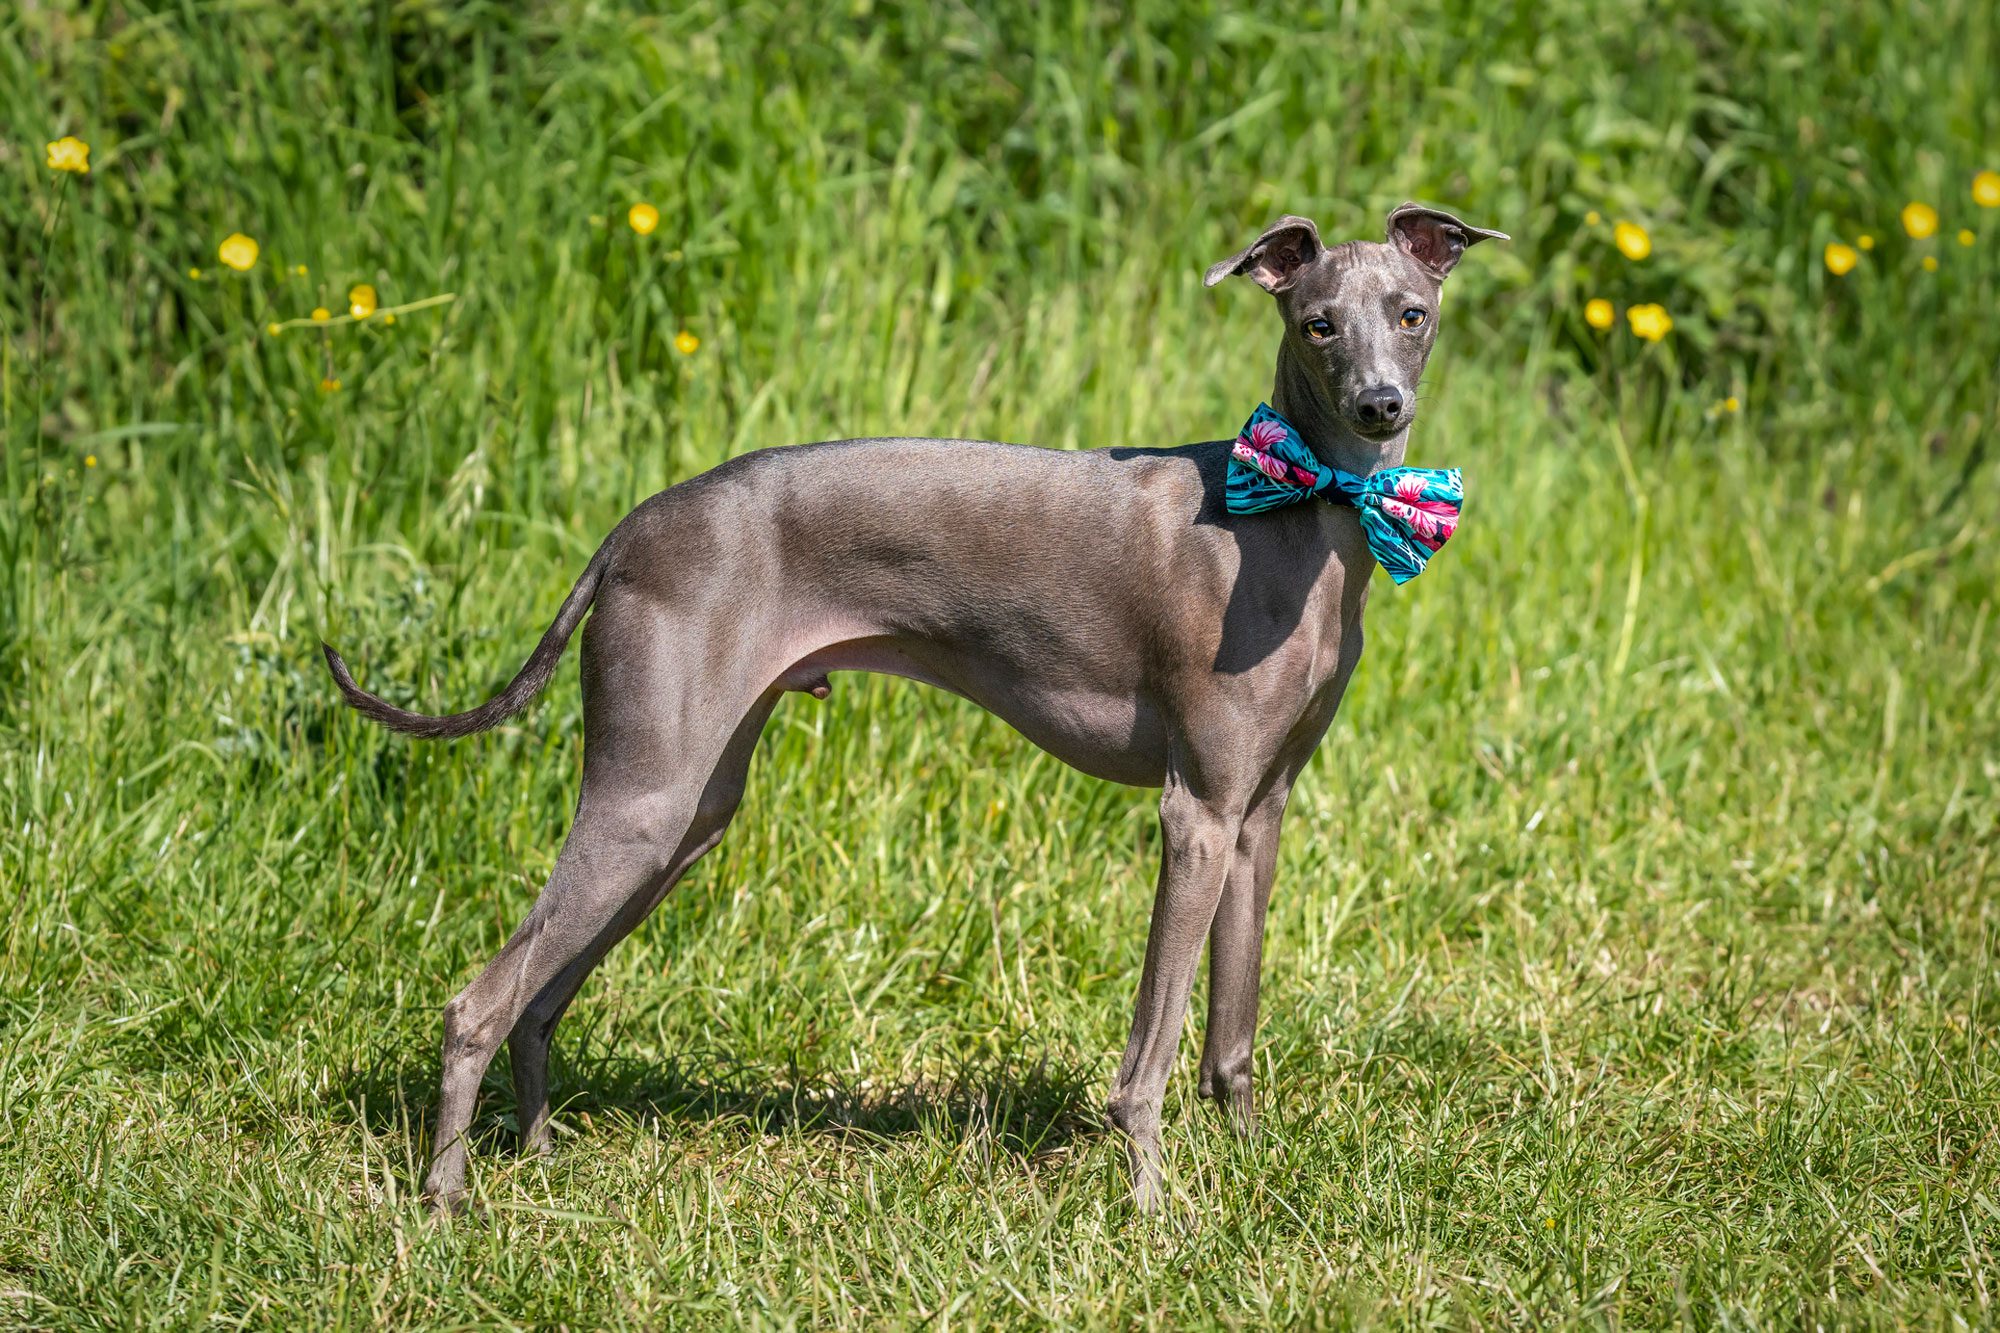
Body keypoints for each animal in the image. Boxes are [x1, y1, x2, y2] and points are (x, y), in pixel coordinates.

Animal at [324, 202, 1504, 1208]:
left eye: (1411, 313)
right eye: (1316, 324)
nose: (1379, 406)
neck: (1299, 513)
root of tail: (633, 526)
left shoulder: (1258, 815)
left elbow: (1232, 1033)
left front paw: (1254, 1168)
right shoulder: (1195, 814)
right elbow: (1150, 1055)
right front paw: (1151, 1208)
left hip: (687, 811)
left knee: (539, 1002)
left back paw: (534, 1158)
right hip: (644, 802)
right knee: (478, 1003)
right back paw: (446, 1196)